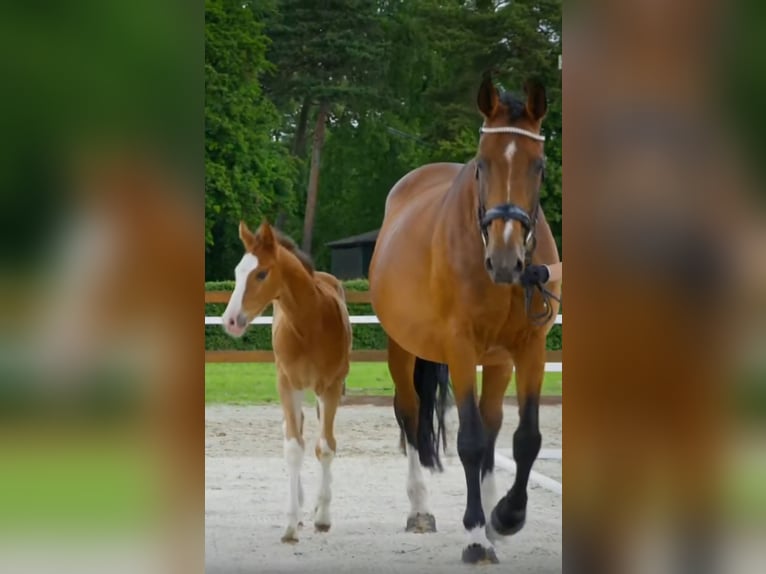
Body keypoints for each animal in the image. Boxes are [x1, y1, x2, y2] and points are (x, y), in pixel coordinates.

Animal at [221, 220, 352, 544]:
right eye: (237, 272)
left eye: (261, 273)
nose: (230, 321)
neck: (309, 325)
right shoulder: (287, 384)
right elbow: (293, 447)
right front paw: (291, 524)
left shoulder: (330, 386)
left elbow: (326, 446)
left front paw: (323, 517)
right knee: (296, 430)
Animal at [368, 73, 561, 564]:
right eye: (482, 165)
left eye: (539, 165)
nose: (507, 260)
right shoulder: (459, 348)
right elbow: (470, 441)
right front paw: (475, 535)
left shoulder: (529, 349)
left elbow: (525, 438)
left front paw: (506, 516)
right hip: (404, 349)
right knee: (410, 413)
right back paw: (421, 509)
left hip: (496, 360)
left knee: (493, 424)